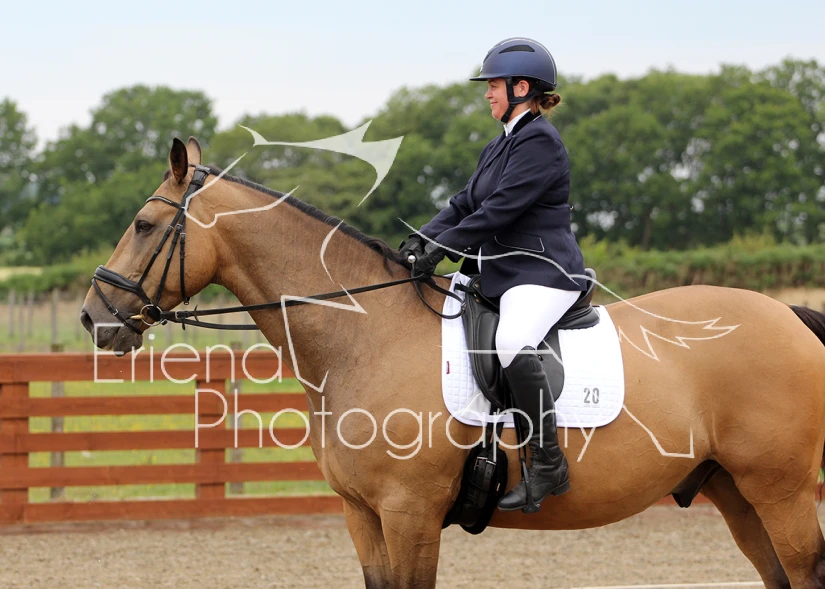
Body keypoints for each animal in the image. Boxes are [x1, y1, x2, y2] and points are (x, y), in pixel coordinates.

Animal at [79, 137, 825, 588]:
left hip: (780, 490)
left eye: (144, 225)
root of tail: (788, 315)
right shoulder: (363, 515)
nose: (94, 317)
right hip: (736, 491)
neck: (365, 336)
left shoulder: (408, 512)